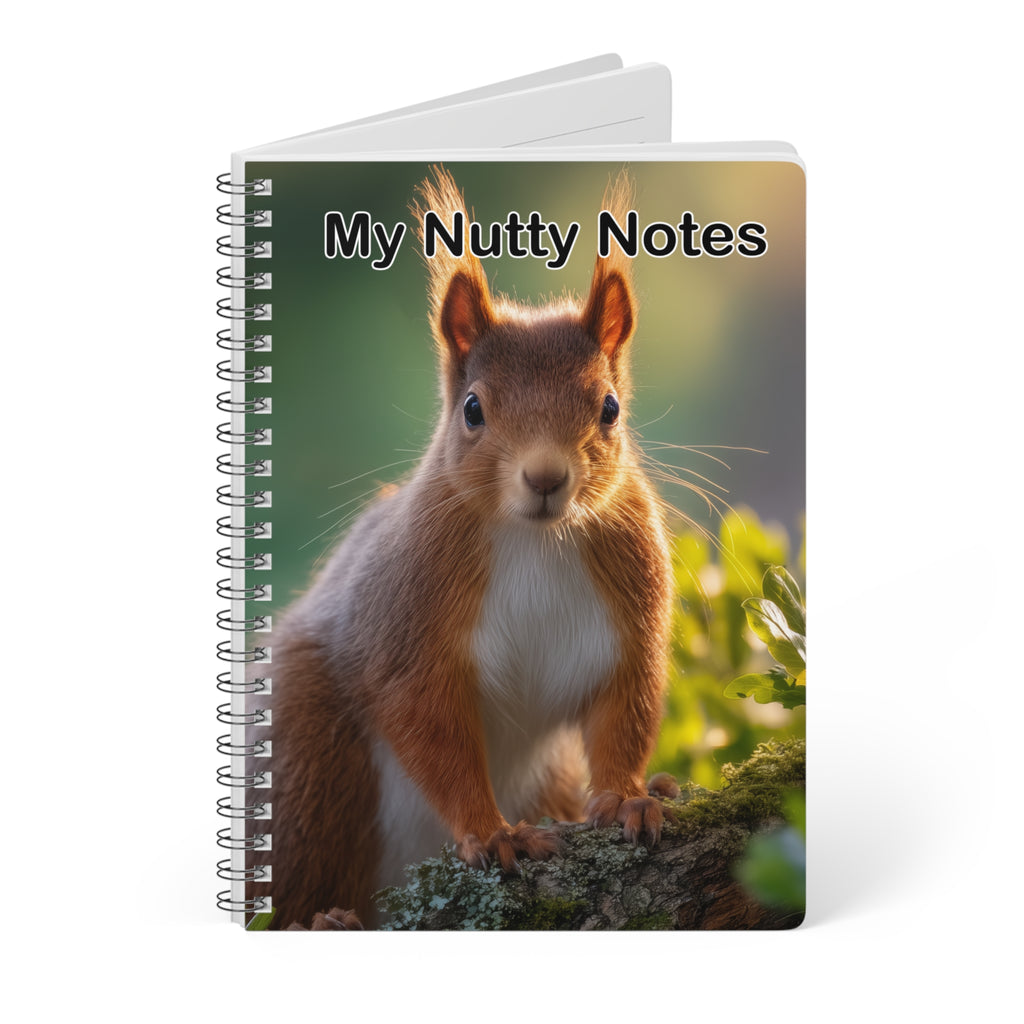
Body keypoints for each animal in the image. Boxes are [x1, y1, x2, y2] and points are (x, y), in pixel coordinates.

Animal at [248, 167, 675, 929]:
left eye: (610, 408)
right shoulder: (410, 620)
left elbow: (625, 706)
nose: (545, 478)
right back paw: (324, 917)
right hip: (308, 762)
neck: (535, 540)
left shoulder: (630, 599)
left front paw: (629, 796)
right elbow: (430, 729)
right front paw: (493, 833)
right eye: (473, 409)